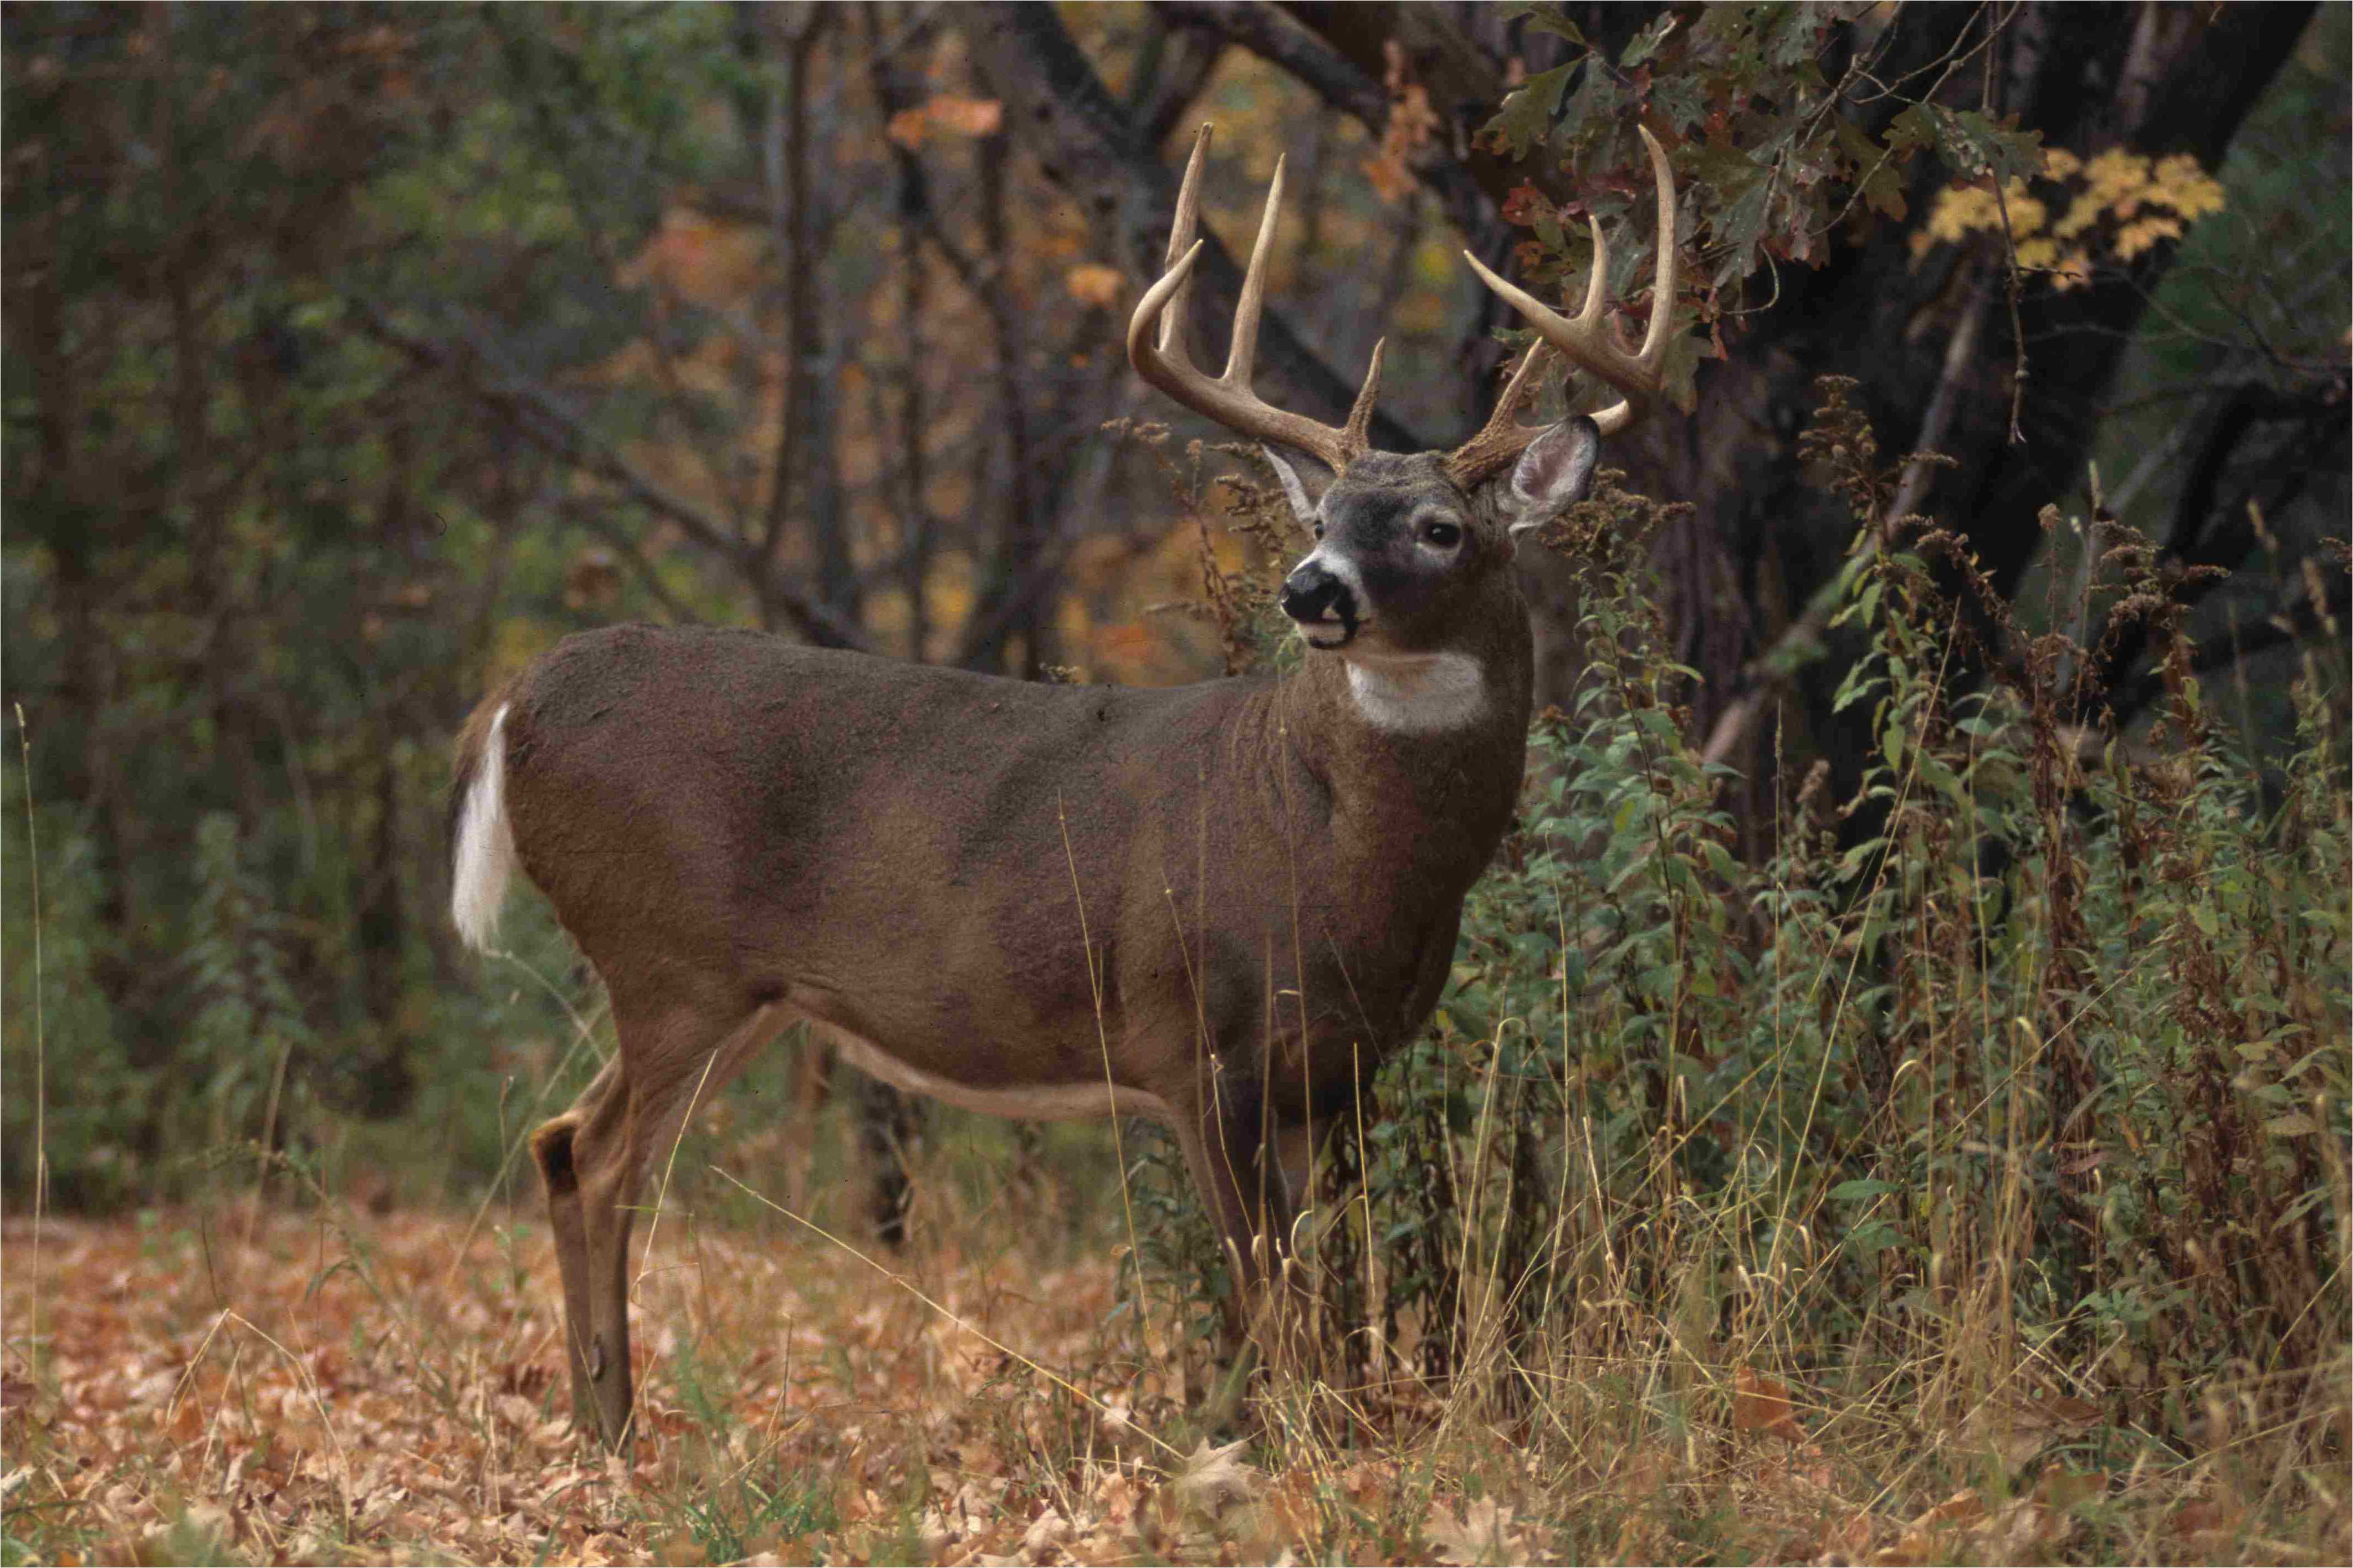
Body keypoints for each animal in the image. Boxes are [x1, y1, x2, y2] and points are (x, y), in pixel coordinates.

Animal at [454, 125, 1675, 1457]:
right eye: (1329, 513)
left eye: (1438, 526)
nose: (1308, 586)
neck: (1338, 854)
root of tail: (517, 697)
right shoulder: (1194, 1040)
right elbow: (1264, 1284)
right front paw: (1269, 1450)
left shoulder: (1341, 1068)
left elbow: (1313, 1280)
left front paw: (1300, 1435)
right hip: (668, 958)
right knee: (600, 1158)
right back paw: (616, 1436)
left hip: (737, 991)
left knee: (565, 1145)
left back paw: (602, 1426)